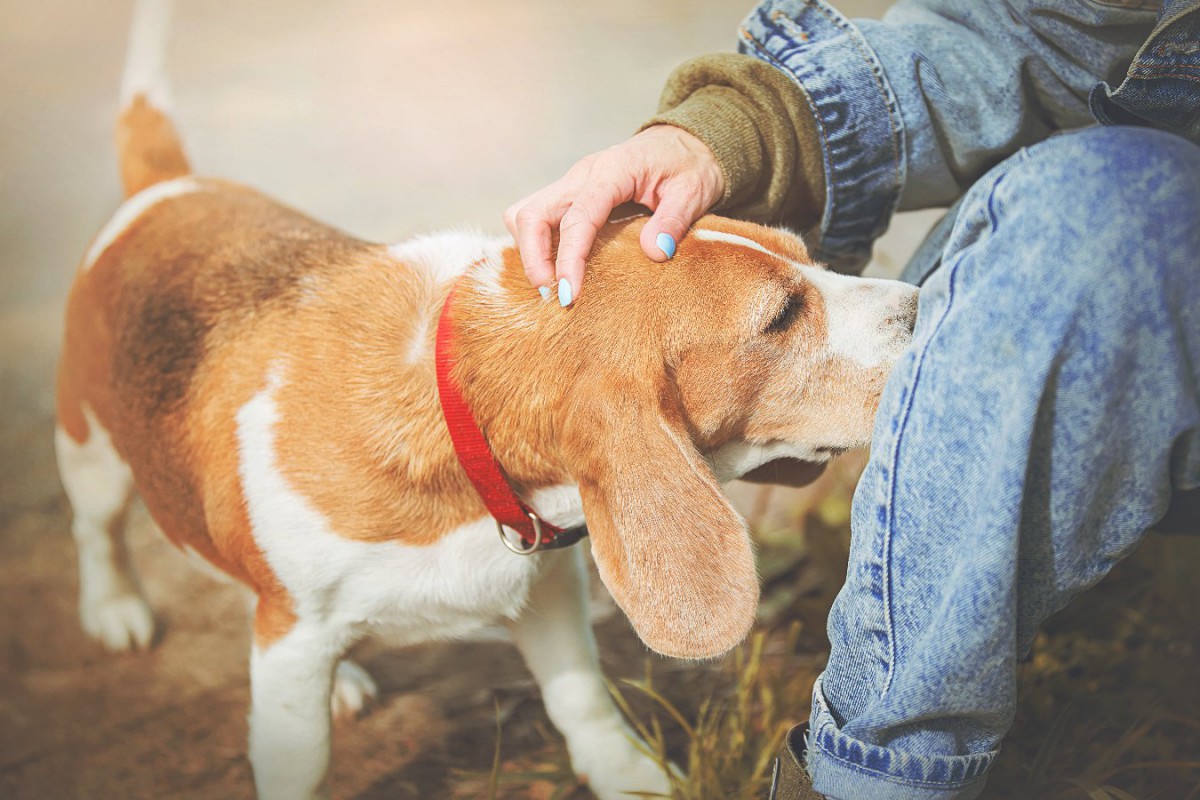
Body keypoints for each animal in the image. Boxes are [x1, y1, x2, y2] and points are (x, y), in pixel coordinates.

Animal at [56, 3, 916, 796]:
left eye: (808, 257)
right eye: (781, 315)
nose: (927, 303)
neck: (455, 413)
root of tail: (166, 186)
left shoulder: (548, 591)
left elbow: (581, 699)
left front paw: (624, 773)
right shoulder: (296, 643)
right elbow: (297, 762)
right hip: (91, 454)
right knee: (99, 534)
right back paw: (115, 608)